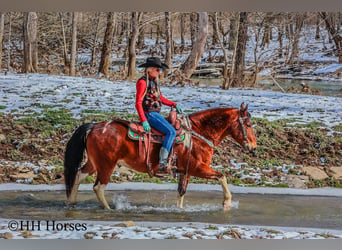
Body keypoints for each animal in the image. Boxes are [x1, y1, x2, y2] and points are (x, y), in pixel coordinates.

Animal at [64, 102, 256, 210]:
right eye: (248, 124)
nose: (253, 148)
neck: (197, 135)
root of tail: (95, 126)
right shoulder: (197, 168)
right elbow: (222, 177)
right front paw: (227, 203)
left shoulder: (185, 171)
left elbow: (181, 192)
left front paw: (179, 210)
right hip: (106, 165)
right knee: (98, 187)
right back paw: (108, 209)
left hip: (94, 163)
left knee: (78, 176)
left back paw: (71, 203)